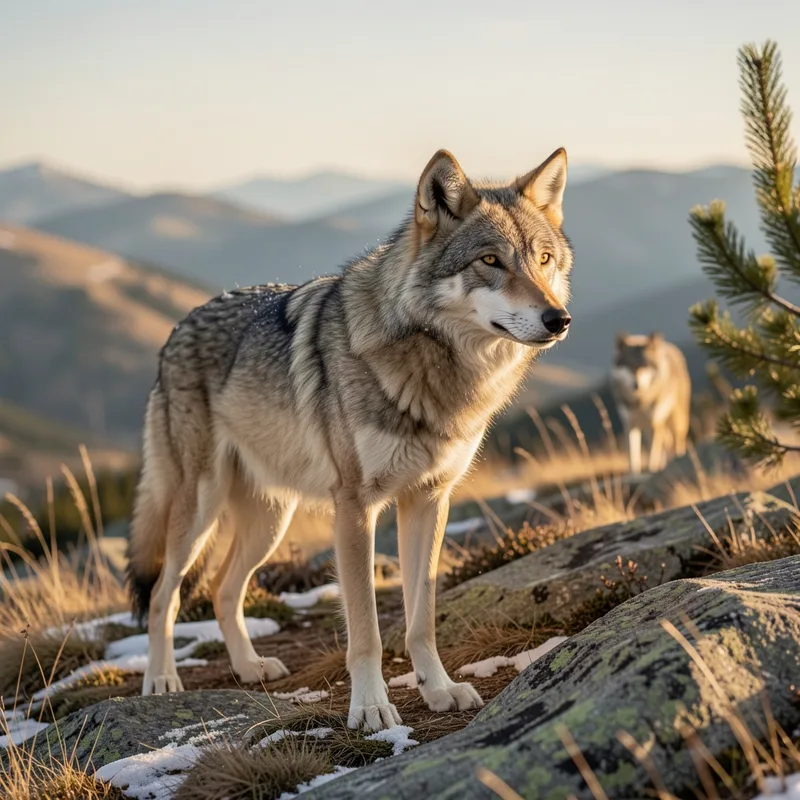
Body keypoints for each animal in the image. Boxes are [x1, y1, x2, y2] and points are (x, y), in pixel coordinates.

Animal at [126, 147, 574, 731]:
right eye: (491, 261)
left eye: (543, 260)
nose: (558, 319)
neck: (434, 369)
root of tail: (177, 329)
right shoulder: (356, 507)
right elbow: (366, 631)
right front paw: (371, 708)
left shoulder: (429, 500)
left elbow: (422, 619)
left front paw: (439, 690)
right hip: (198, 510)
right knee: (163, 595)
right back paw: (160, 680)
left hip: (271, 520)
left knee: (224, 590)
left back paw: (250, 667)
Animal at [610, 332, 691, 475]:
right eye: (629, 366)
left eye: (644, 366)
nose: (636, 385)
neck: (639, 402)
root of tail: (672, 348)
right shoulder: (630, 425)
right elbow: (633, 458)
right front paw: (634, 475)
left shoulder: (653, 424)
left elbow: (652, 456)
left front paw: (651, 470)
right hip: (657, 426)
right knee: (667, 442)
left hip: (676, 421)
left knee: (677, 442)